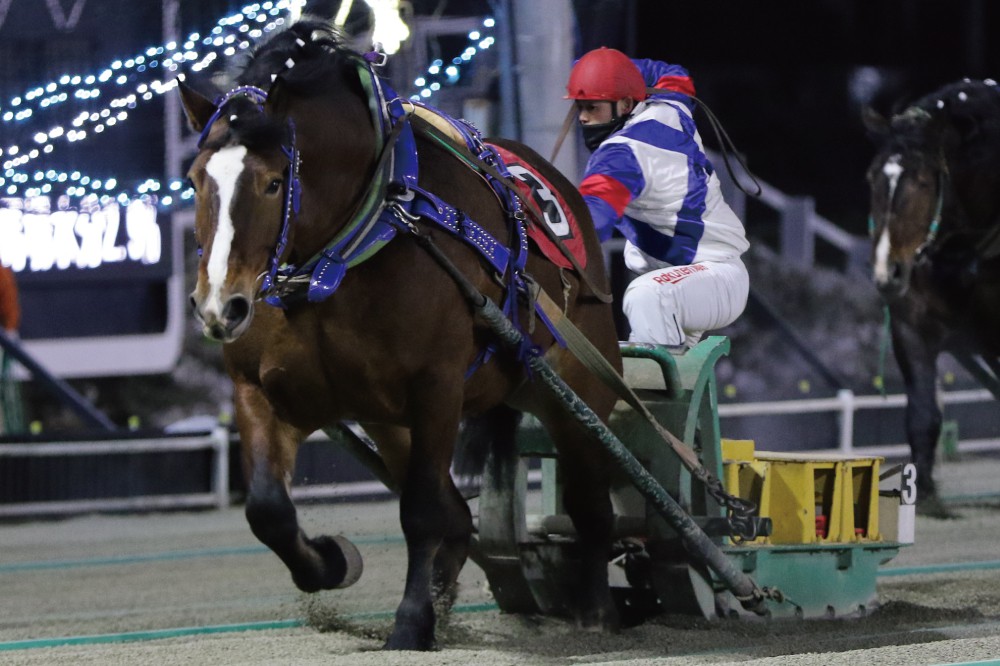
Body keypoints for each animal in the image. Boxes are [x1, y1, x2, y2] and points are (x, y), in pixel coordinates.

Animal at [177, 22, 620, 648]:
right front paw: (333, 562)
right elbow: (267, 509)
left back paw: (596, 609)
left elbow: (421, 510)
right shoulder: (262, 389)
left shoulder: (437, 388)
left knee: (590, 501)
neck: (343, 255)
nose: (220, 305)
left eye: (272, 183)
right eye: (195, 181)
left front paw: (410, 622)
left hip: (578, 389)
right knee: (461, 516)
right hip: (389, 419)